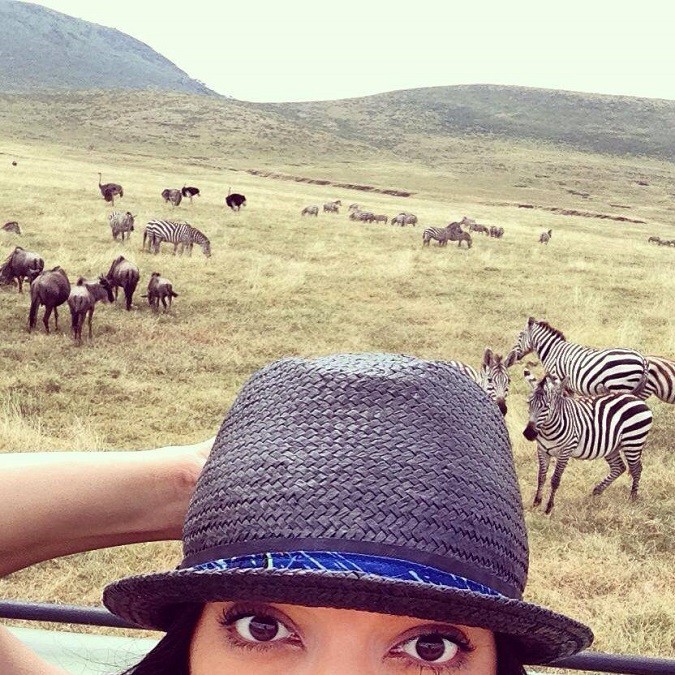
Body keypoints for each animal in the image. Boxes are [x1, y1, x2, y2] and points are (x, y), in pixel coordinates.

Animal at [505, 317, 648, 396]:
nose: (508, 360)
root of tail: (641, 358)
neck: (552, 350)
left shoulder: (557, 379)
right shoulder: (568, 386)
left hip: (620, 385)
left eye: (519, 336)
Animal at [523, 370, 653, 514]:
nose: (529, 433)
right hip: (611, 446)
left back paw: (632, 497)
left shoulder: (565, 451)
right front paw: (536, 502)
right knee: (619, 467)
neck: (548, 430)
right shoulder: (542, 450)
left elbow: (555, 480)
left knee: (636, 469)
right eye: (529, 403)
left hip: (633, 441)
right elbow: (541, 477)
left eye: (546, 406)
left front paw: (549, 507)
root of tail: (634, 397)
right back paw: (597, 491)